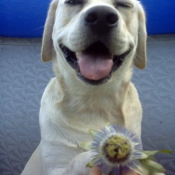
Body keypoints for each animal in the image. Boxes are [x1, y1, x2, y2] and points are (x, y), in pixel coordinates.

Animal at [20, 0, 161, 174]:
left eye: (124, 4)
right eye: (73, 2)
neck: (94, 101)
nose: (101, 17)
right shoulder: (56, 167)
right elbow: (80, 158)